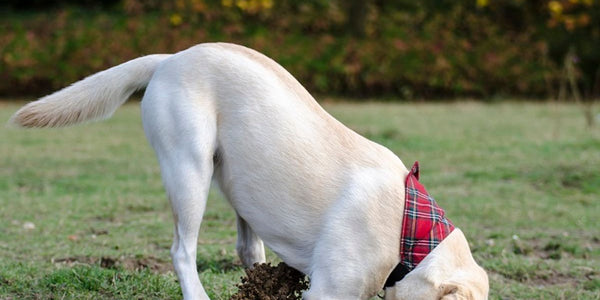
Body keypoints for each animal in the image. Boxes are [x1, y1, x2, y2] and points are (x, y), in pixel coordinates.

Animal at [9, 42, 488, 300]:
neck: (413, 235)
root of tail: (173, 57)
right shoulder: (330, 290)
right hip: (190, 169)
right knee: (182, 250)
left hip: (241, 181)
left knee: (246, 248)